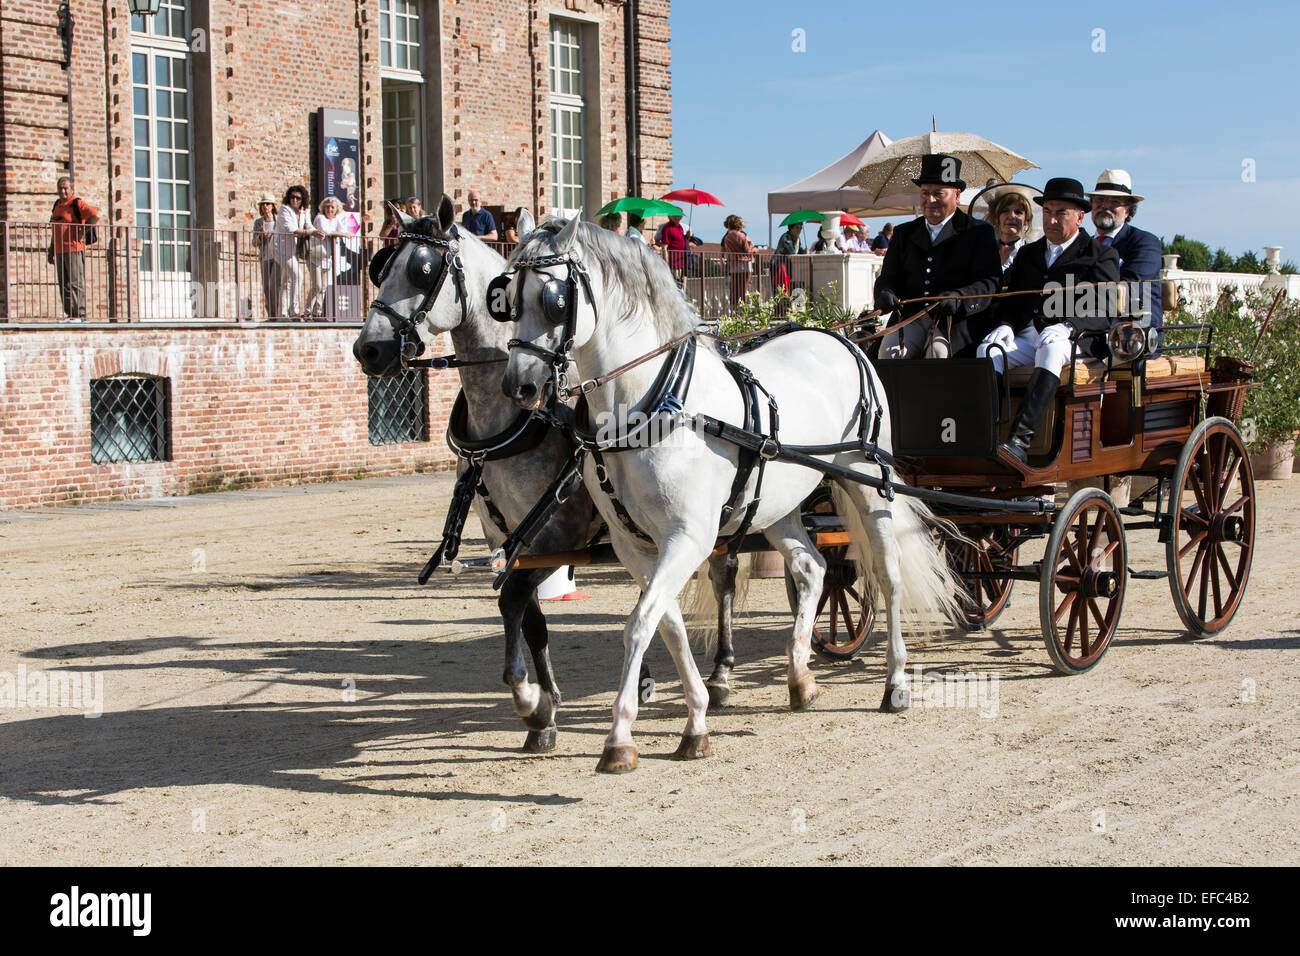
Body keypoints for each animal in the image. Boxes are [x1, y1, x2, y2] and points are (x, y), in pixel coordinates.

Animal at [499, 214, 967, 770]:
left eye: (556, 299)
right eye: (506, 297)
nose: (519, 387)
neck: (654, 404)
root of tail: (846, 340)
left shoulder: (689, 538)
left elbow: (639, 624)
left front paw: (620, 736)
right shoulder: (637, 546)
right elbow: (668, 624)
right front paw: (697, 720)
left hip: (867, 483)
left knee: (888, 575)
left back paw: (895, 683)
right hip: (778, 506)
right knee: (812, 567)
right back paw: (800, 677)